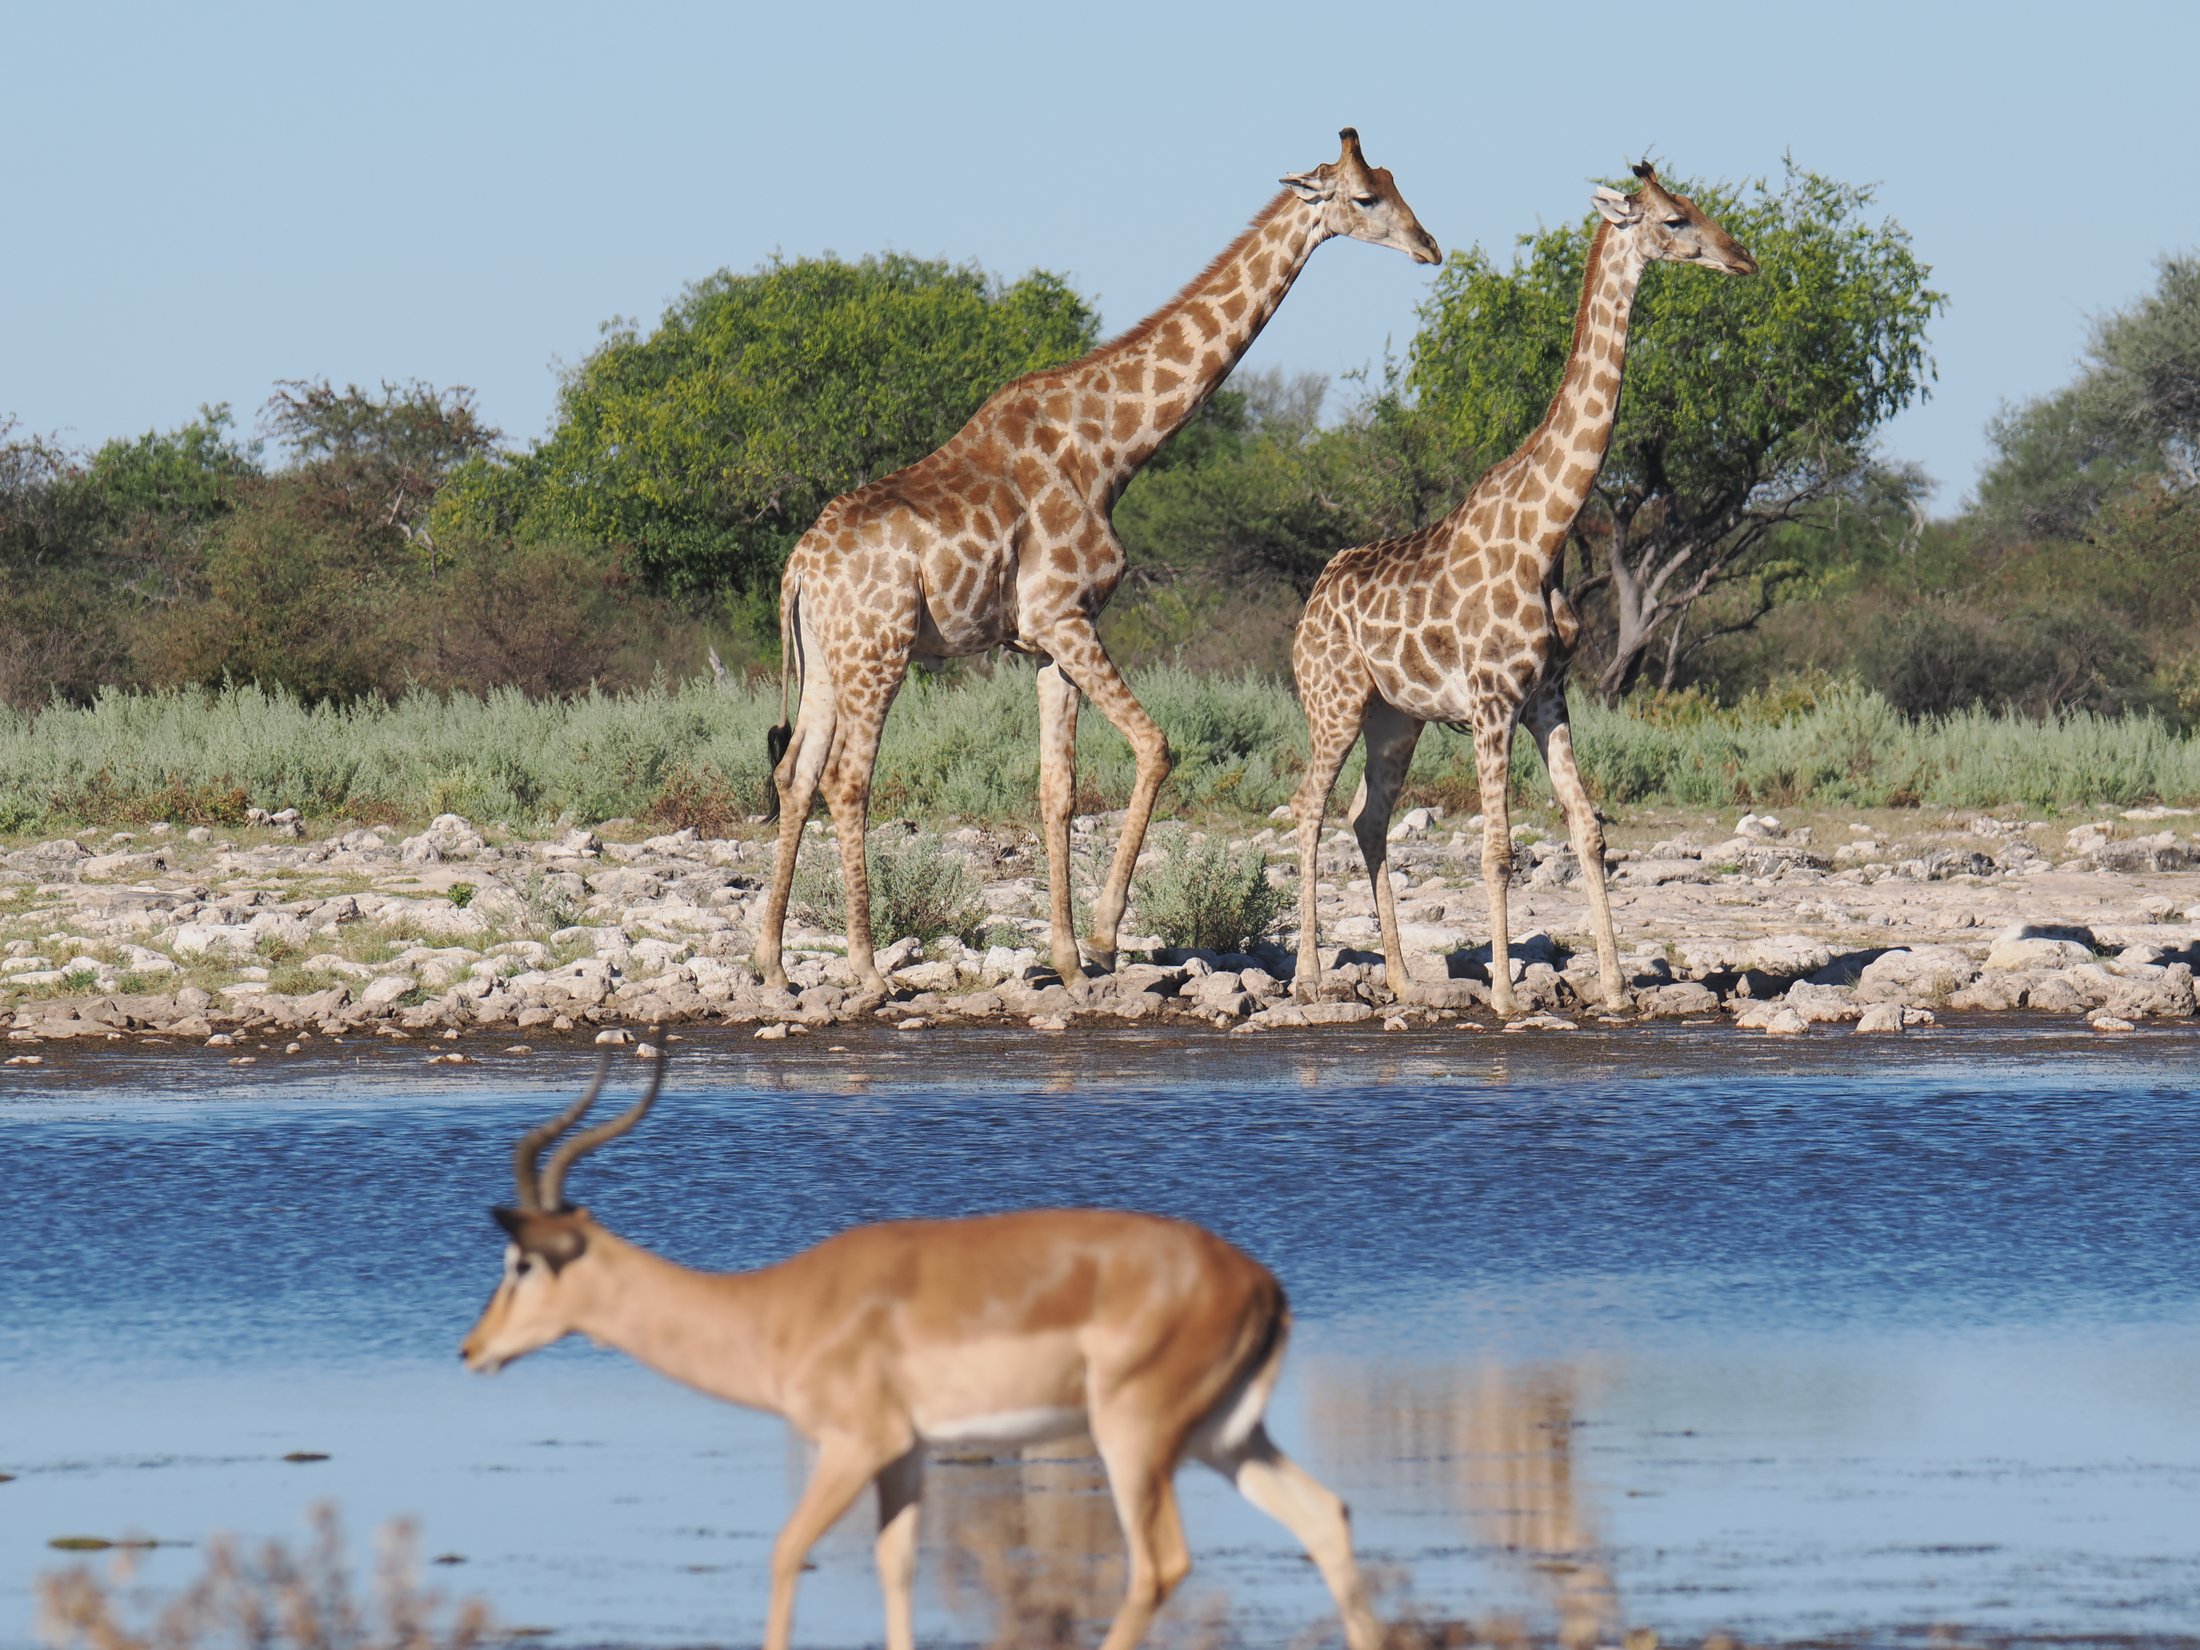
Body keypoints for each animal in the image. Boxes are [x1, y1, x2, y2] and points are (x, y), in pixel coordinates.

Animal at [756, 130, 1441, 999]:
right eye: (1364, 198)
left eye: (1392, 183)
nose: (1430, 247)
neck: (1112, 450)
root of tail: (798, 571)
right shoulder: (1067, 614)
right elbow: (1156, 747)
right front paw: (1109, 934)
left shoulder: (1045, 643)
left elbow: (1058, 788)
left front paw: (1067, 959)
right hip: (880, 651)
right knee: (847, 780)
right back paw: (868, 969)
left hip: (827, 658)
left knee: (796, 774)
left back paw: (772, 962)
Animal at [1289, 163, 1756, 1016]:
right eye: (1674, 219)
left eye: (1698, 208)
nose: (1741, 258)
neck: (1546, 533)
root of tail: (1310, 602)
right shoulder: (1491, 702)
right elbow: (1498, 849)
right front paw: (1507, 996)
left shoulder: (1548, 697)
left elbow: (1589, 831)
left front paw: (1616, 987)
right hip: (1331, 701)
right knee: (1309, 809)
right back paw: (1309, 976)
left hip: (1394, 716)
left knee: (1368, 817)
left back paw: (1403, 981)